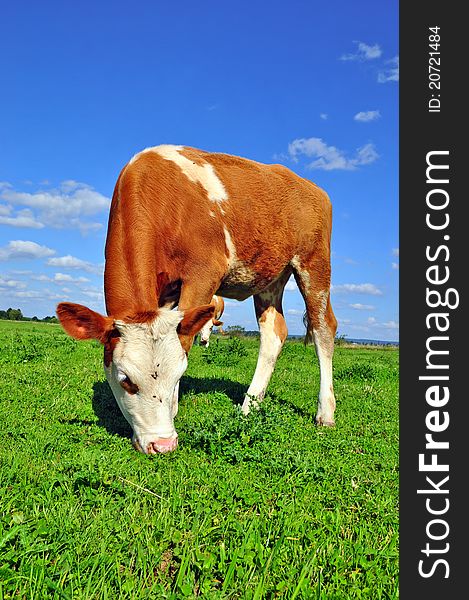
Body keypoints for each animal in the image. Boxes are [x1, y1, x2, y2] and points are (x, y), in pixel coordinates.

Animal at [56, 145, 336, 454]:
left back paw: (325, 412)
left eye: (179, 375)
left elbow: (186, 339)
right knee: (274, 333)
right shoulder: (164, 294)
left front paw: (174, 409)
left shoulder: (203, 275)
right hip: (270, 276)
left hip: (314, 263)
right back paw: (249, 407)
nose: (162, 444)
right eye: (125, 380)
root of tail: (311, 186)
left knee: (324, 327)